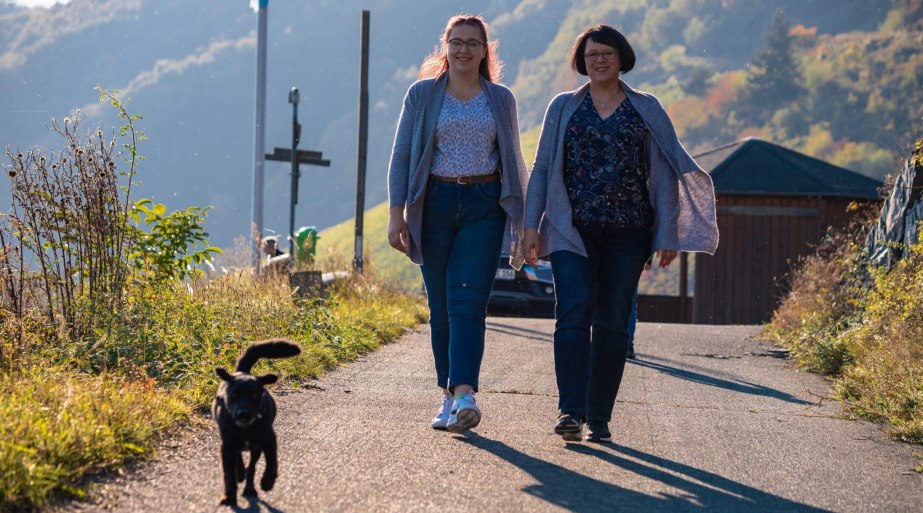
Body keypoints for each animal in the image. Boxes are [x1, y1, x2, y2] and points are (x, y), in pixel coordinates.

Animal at [212, 336, 300, 504]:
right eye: (233, 395)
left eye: (254, 396)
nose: (243, 414)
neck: (246, 428)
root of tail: (243, 371)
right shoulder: (226, 446)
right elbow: (229, 474)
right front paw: (229, 496)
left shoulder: (269, 440)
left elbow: (272, 463)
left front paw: (267, 482)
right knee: (240, 462)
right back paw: (240, 474)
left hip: (256, 449)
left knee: (251, 467)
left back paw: (250, 488)